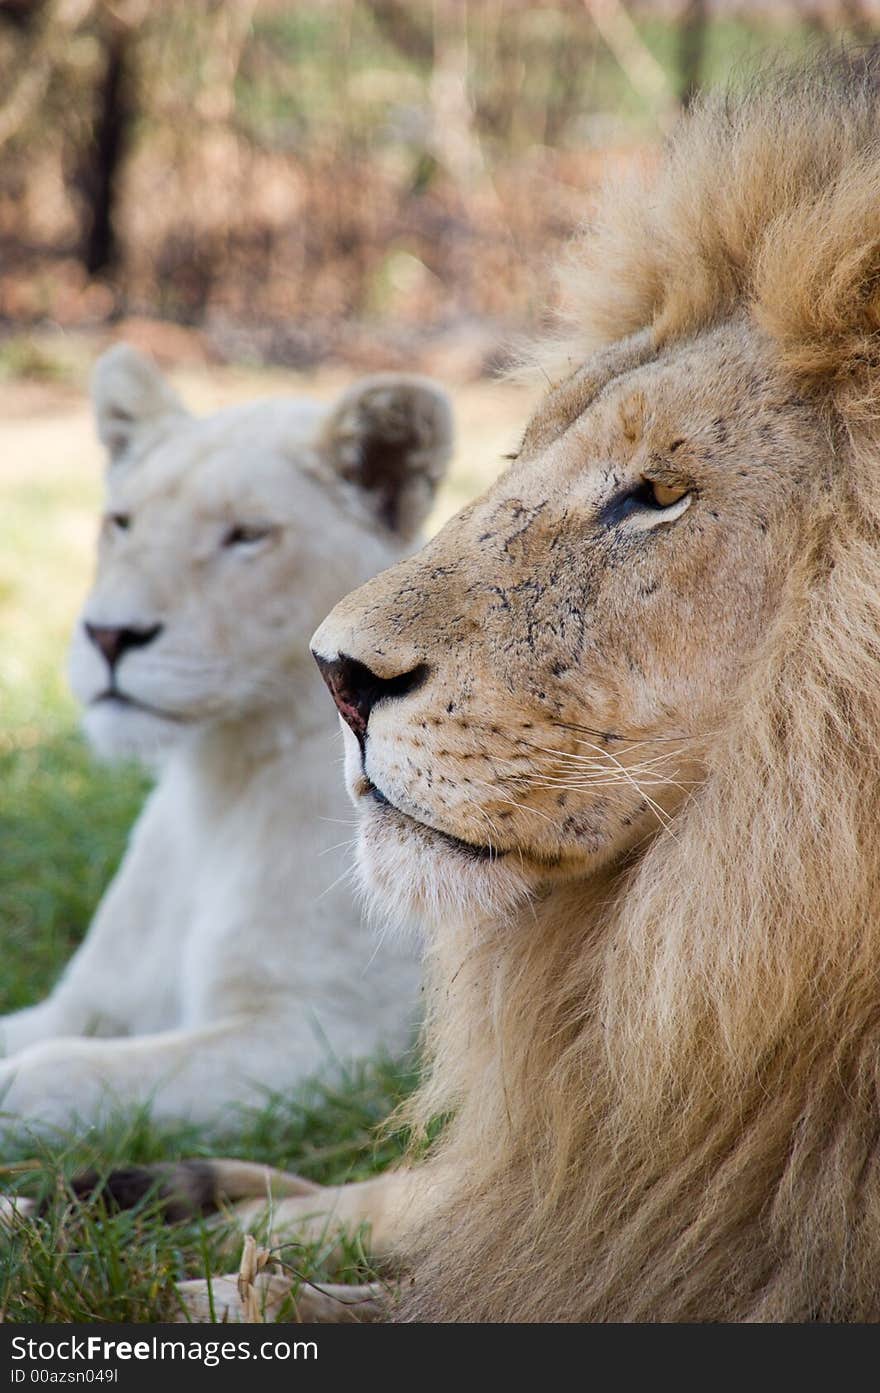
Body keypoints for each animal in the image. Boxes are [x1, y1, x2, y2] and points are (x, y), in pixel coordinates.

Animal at [0, 345, 453, 1131]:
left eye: (246, 535)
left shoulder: (333, 1045)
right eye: (121, 522)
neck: (215, 784)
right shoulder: (90, 1000)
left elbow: (55, 1074)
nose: (108, 634)